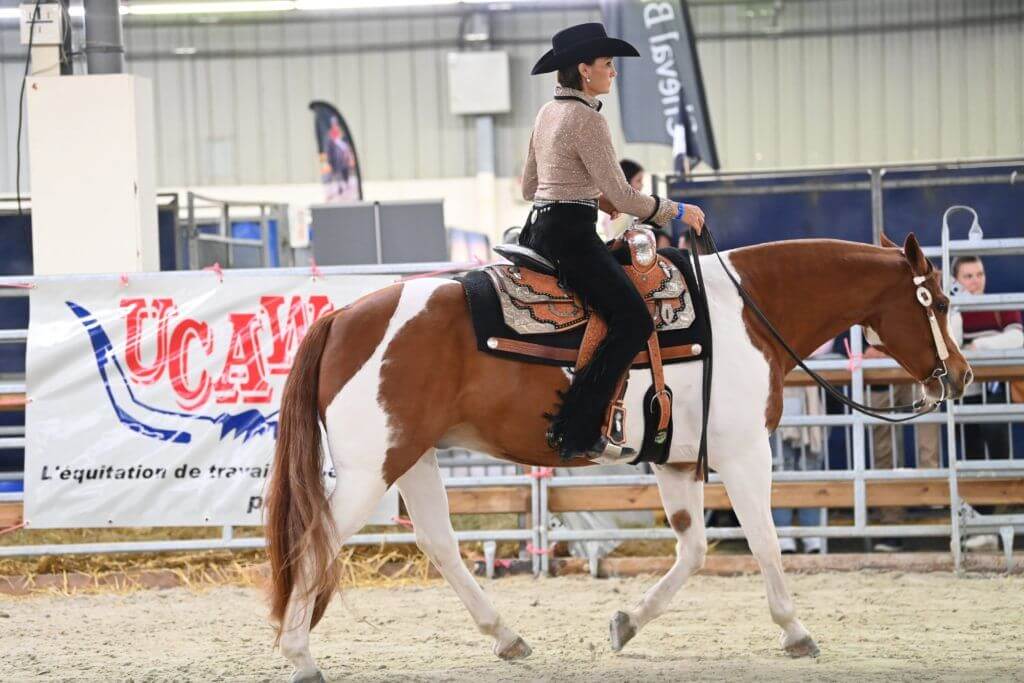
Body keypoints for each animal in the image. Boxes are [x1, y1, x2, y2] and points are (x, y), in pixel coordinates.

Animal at [264, 232, 966, 679]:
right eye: (939, 301)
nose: (958, 377)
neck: (746, 315)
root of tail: (342, 318)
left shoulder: (676, 460)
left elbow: (693, 549)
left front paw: (626, 623)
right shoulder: (744, 453)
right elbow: (765, 542)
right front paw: (796, 632)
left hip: (412, 458)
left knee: (439, 544)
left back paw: (508, 638)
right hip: (371, 468)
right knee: (317, 539)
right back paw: (299, 656)